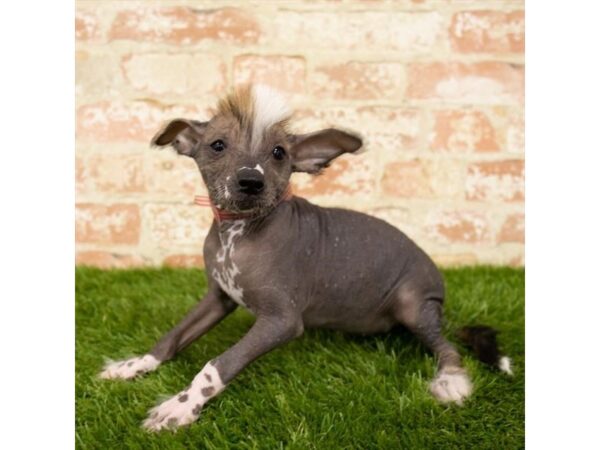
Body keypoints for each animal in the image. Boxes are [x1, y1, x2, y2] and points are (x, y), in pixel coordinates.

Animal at [99, 85, 506, 432]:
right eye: (217, 145)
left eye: (279, 153)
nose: (251, 181)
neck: (238, 233)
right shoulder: (218, 298)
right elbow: (171, 336)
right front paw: (134, 364)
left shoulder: (282, 321)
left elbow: (217, 365)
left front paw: (181, 406)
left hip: (413, 304)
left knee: (448, 348)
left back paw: (451, 381)